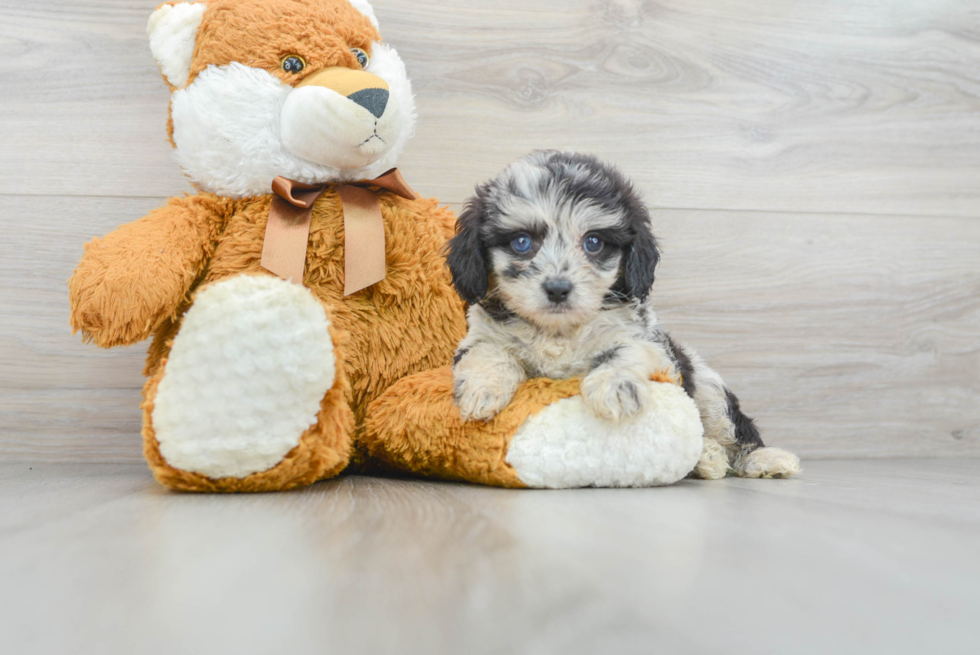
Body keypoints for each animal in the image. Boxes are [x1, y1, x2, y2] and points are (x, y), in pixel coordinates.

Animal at [448, 151, 800, 480]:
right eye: (521, 242)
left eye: (593, 242)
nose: (558, 289)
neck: (559, 331)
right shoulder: (481, 336)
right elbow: (489, 352)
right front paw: (481, 390)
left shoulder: (646, 342)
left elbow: (625, 350)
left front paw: (614, 388)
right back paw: (708, 459)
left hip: (708, 388)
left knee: (734, 431)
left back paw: (762, 459)